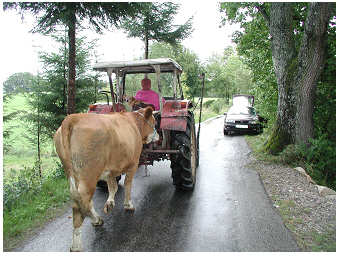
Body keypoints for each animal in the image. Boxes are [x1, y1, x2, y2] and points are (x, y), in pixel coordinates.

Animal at [54, 106, 158, 251]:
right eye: (153, 122)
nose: (158, 137)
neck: (133, 121)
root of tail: (74, 117)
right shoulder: (134, 162)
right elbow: (128, 184)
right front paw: (128, 204)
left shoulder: (110, 169)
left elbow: (112, 186)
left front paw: (110, 203)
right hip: (89, 176)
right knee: (78, 206)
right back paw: (78, 243)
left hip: (73, 173)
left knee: (83, 202)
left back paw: (96, 219)